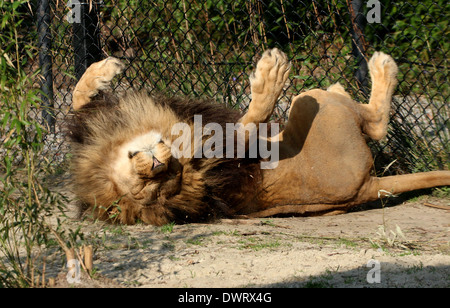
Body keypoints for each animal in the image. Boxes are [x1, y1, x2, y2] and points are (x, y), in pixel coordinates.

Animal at [67, 48, 450, 226]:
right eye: (150, 188)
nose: (158, 164)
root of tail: (369, 185)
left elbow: (76, 98)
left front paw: (103, 69)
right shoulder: (223, 160)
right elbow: (246, 123)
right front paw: (271, 75)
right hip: (316, 107)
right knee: (375, 123)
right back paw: (382, 66)